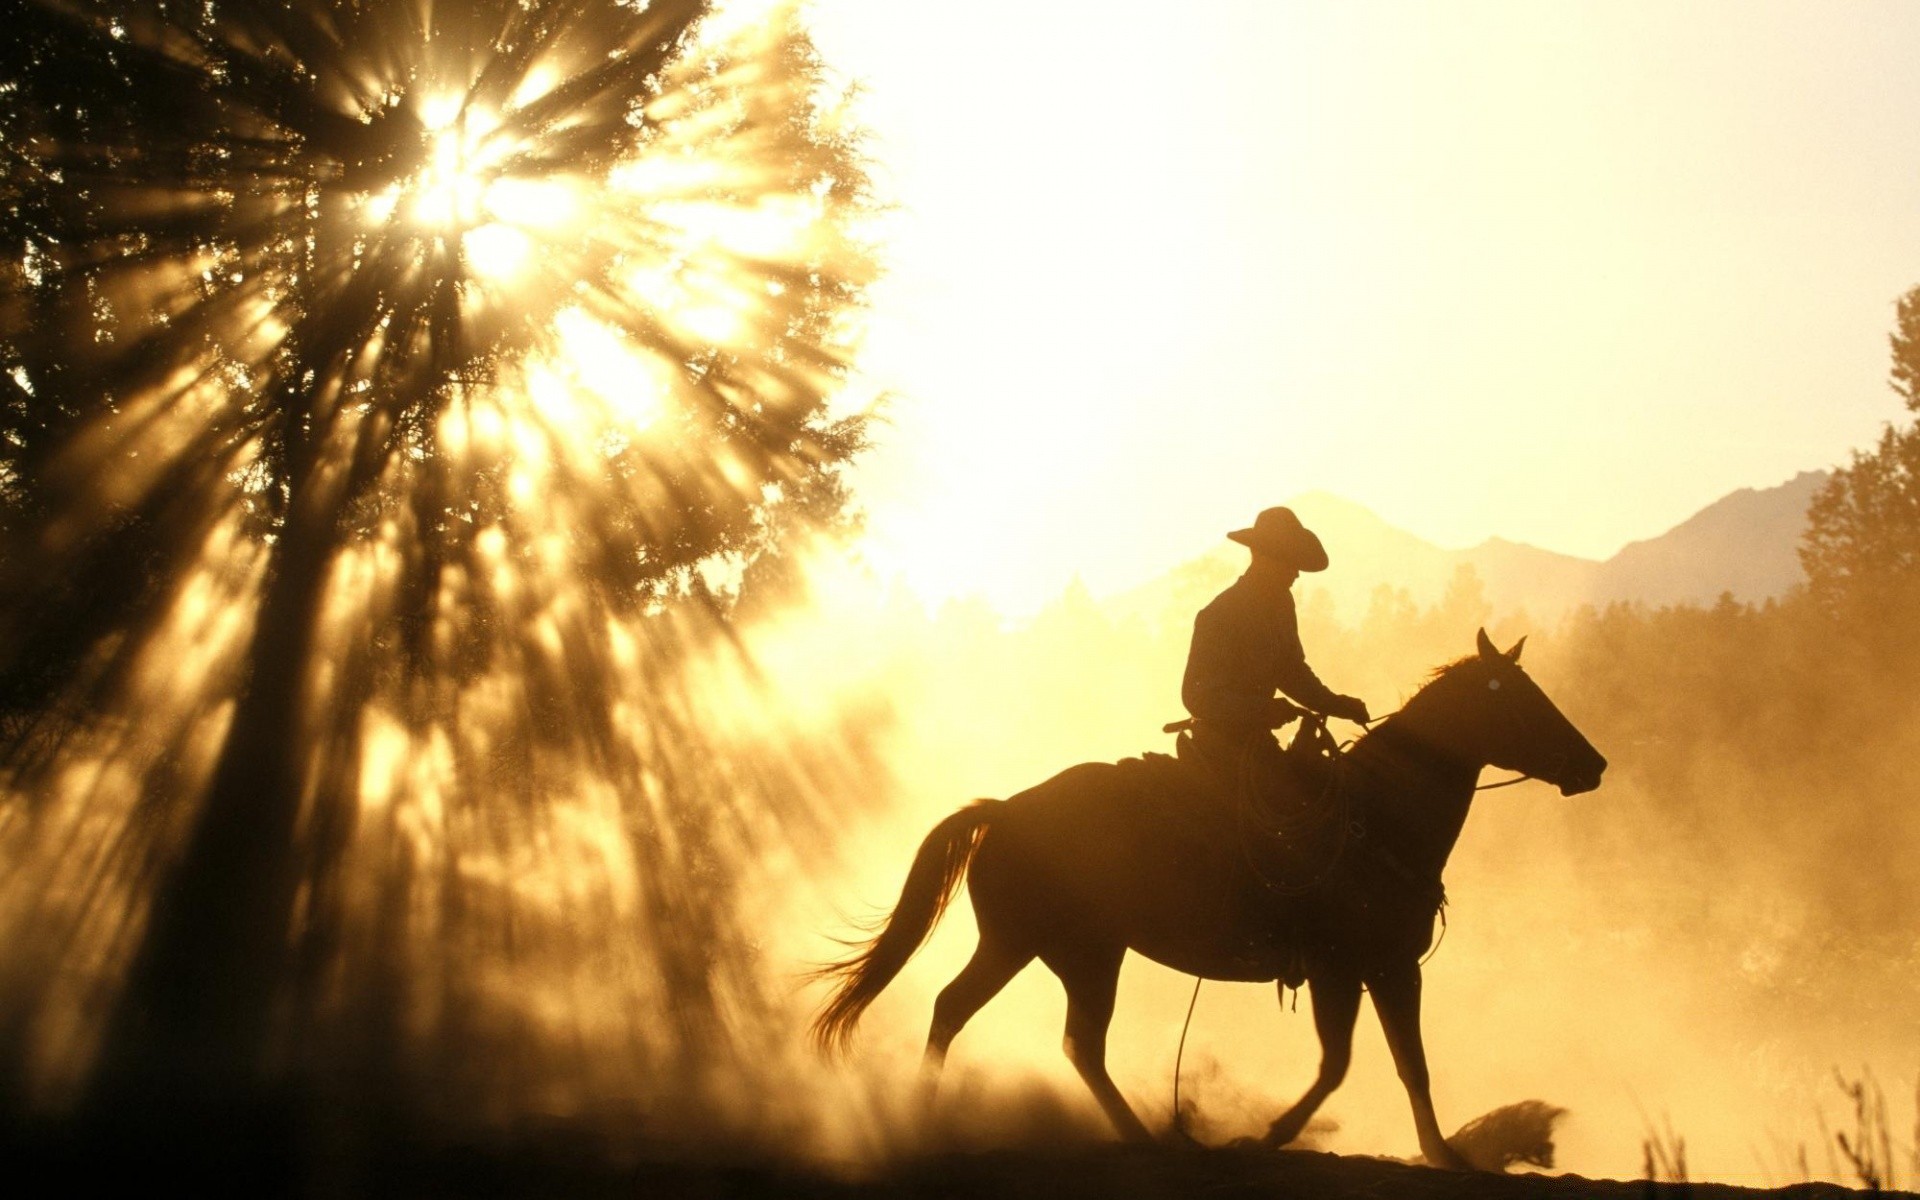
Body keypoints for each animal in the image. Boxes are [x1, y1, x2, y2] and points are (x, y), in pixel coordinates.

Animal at [810, 633, 1605, 1167]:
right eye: (1523, 699)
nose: (1593, 764)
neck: (1375, 816)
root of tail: (1004, 810)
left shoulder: (1385, 968)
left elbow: (1408, 1063)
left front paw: (1443, 1154)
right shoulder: (1345, 968)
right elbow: (1343, 1063)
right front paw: (1271, 1135)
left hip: (1047, 949)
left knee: (1005, 1023)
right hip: (1063, 950)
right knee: (1043, 1033)